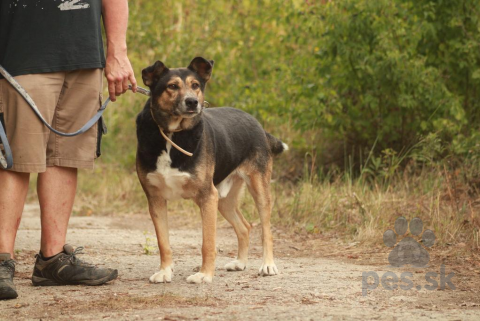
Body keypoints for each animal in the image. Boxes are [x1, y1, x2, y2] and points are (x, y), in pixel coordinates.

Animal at [135, 57, 286, 282]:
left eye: (195, 85)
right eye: (172, 86)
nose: (192, 102)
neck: (172, 134)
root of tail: (257, 124)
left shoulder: (207, 197)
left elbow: (208, 243)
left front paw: (204, 275)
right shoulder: (155, 199)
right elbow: (163, 242)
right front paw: (165, 271)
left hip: (257, 188)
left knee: (266, 230)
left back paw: (268, 265)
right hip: (223, 198)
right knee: (244, 227)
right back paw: (240, 263)